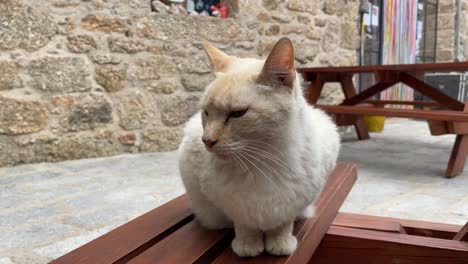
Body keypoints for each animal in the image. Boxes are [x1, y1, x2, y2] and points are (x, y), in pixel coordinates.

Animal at [178, 37, 340, 256]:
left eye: (238, 113)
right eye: (206, 113)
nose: (207, 141)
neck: (262, 162)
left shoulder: (293, 202)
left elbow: (283, 224)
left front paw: (280, 242)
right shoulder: (233, 205)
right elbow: (245, 225)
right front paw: (248, 244)